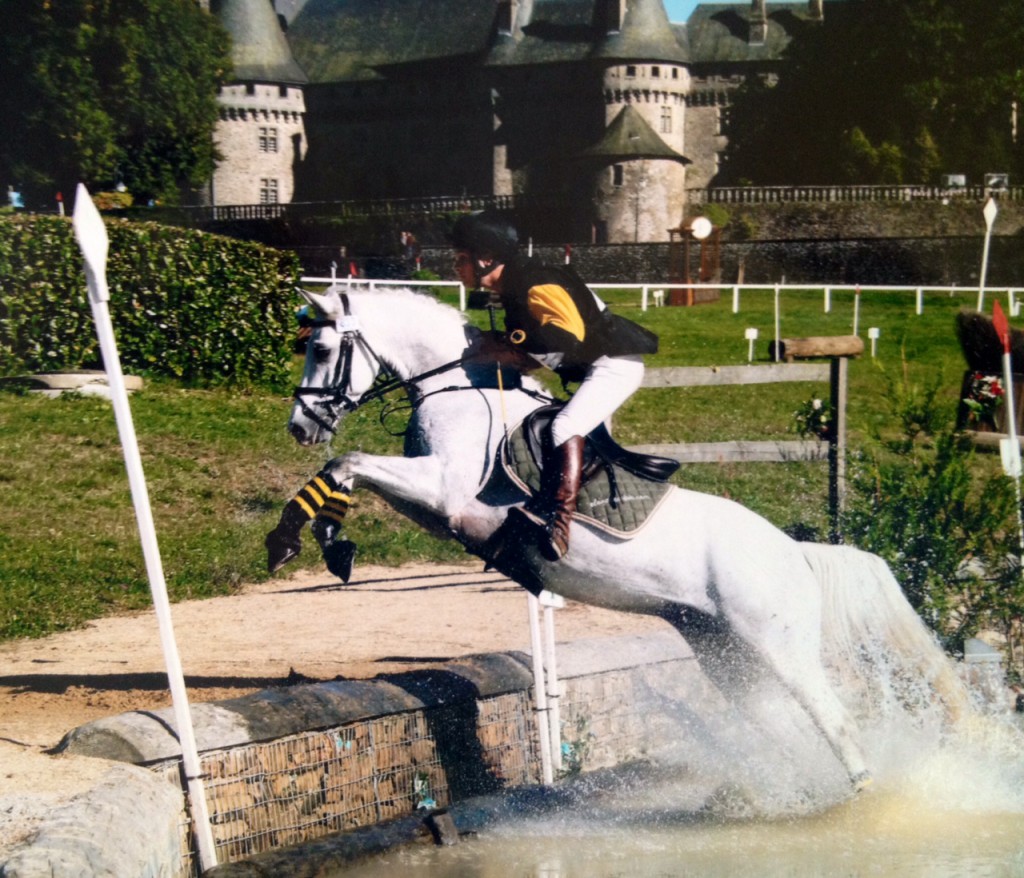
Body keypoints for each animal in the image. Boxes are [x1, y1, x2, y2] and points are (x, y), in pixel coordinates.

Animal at [286, 284, 966, 790]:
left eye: (321, 347)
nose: (300, 426)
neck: (460, 389)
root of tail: (795, 552)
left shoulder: (446, 494)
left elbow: (347, 461)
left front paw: (309, 537)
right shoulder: (435, 507)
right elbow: (344, 469)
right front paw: (321, 535)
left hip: (781, 647)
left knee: (836, 722)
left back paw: (862, 803)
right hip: (728, 656)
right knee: (786, 729)